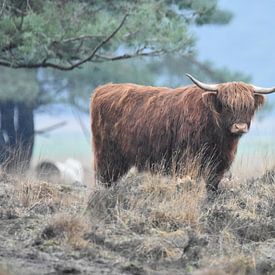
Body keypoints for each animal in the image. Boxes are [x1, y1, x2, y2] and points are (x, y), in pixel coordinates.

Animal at [91, 74, 275, 193]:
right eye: (225, 105)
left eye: (248, 106)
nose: (240, 127)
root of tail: (102, 89)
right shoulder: (187, 161)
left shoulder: (218, 165)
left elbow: (212, 187)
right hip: (107, 156)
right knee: (105, 179)